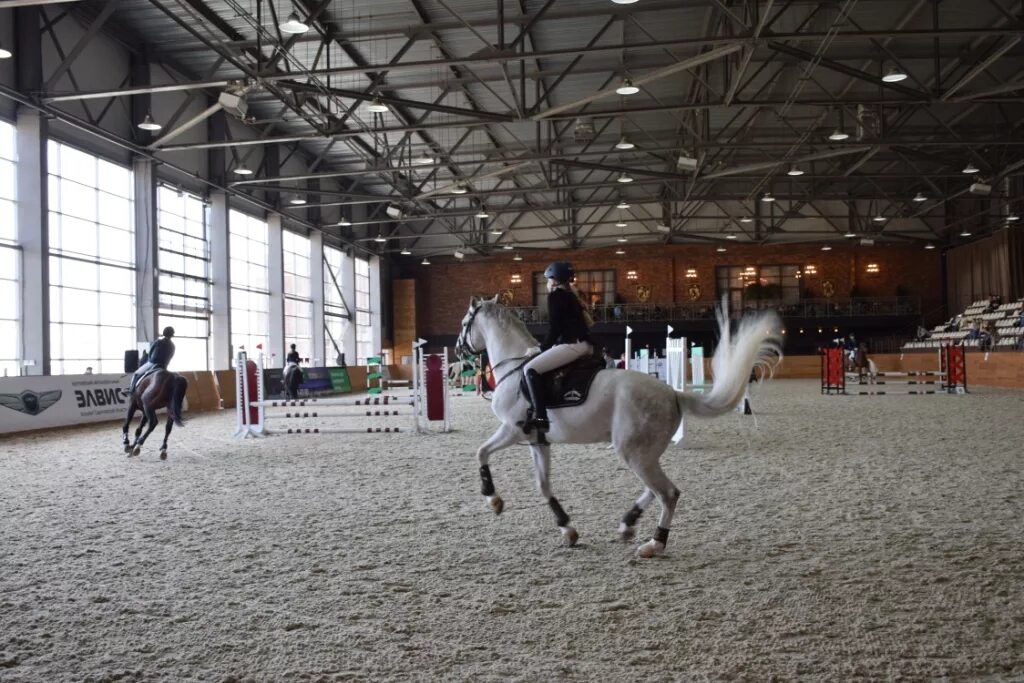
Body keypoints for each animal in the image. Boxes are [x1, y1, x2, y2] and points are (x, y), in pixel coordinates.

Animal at [456, 296, 782, 557]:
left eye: (463, 323)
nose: (459, 352)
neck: (514, 369)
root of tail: (672, 394)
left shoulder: (512, 429)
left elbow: (481, 452)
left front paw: (493, 499)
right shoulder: (539, 441)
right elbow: (543, 485)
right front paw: (567, 530)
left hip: (633, 452)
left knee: (668, 493)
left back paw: (654, 544)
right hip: (642, 453)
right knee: (654, 488)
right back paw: (628, 523)